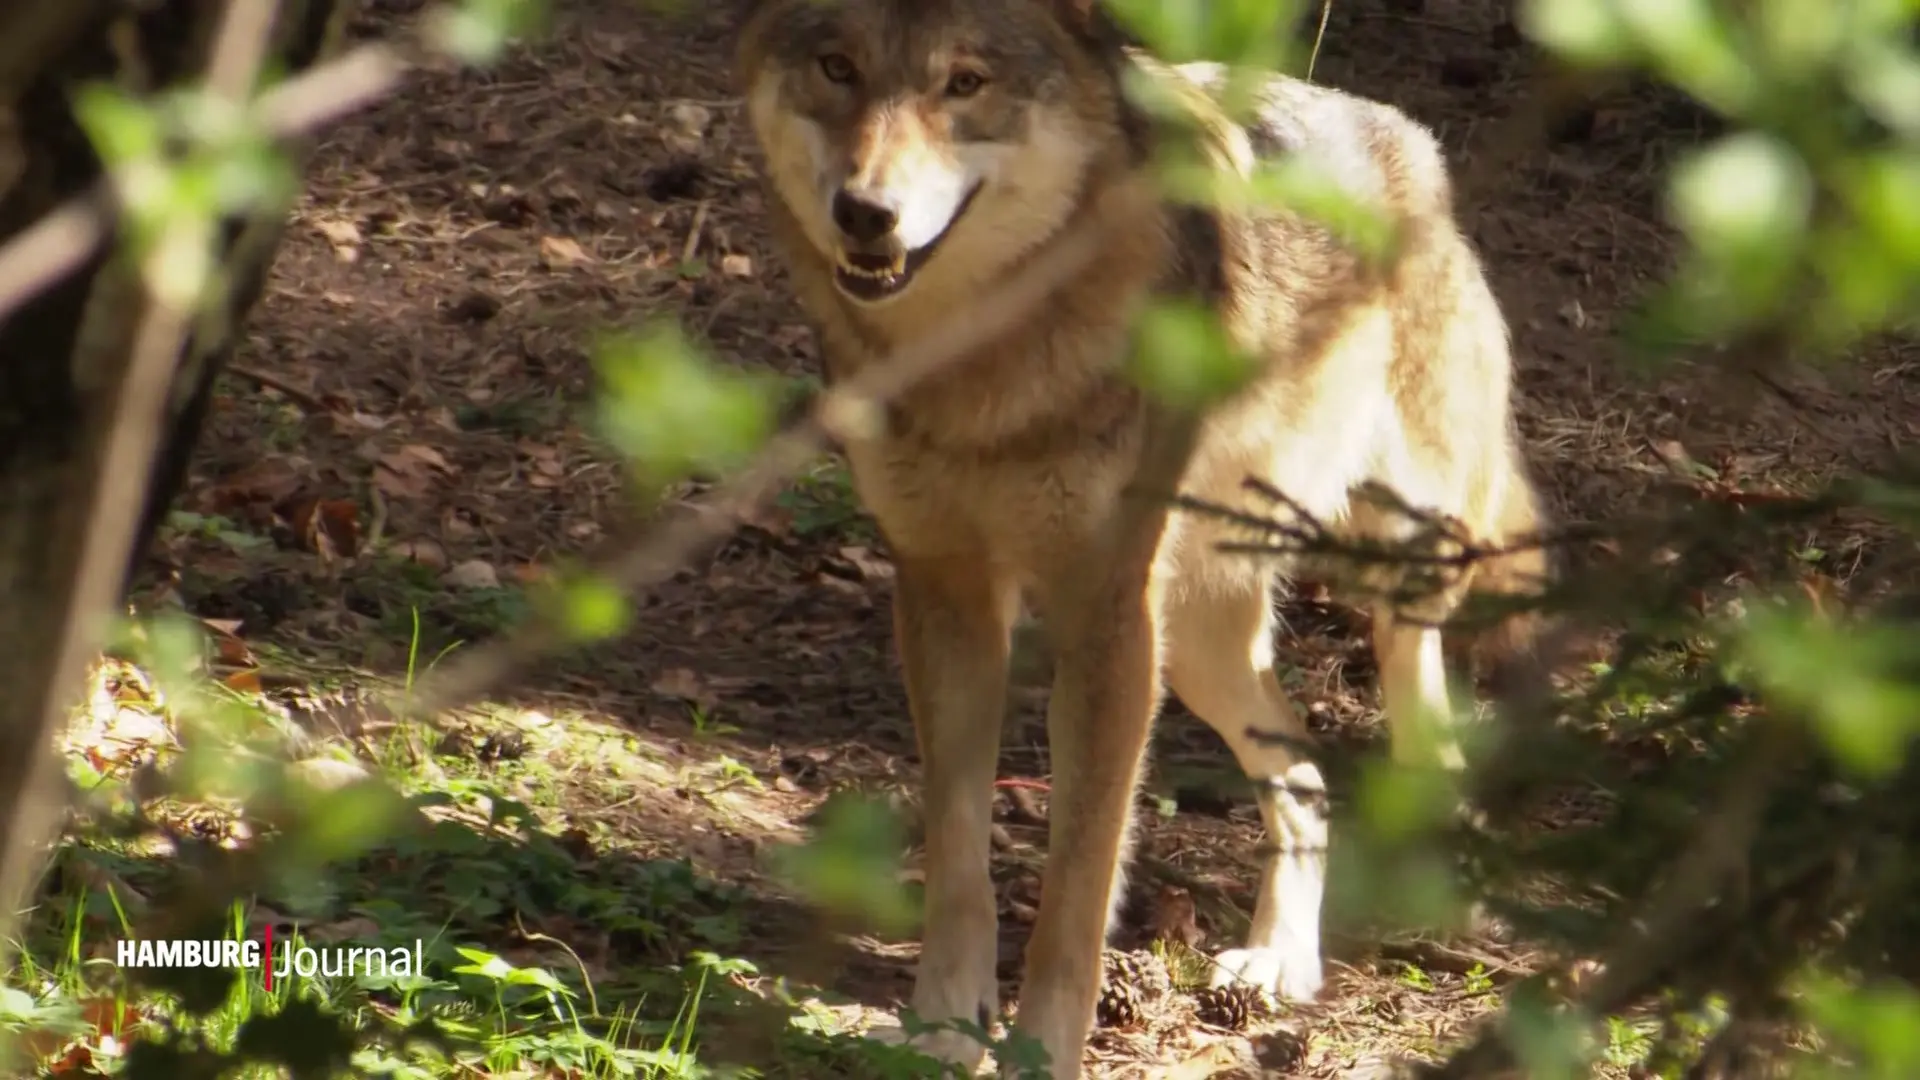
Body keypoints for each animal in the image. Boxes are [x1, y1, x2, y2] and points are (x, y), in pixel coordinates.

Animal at [734, 0, 1549, 1076]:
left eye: (965, 83)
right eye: (838, 67)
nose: (865, 213)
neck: (985, 371)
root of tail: (1411, 141)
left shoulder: (1105, 620)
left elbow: (1078, 893)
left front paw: (1043, 1050)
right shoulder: (943, 591)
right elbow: (958, 860)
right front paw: (944, 1033)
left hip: (1388, 573)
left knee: (1429, 734)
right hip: (1198, 646)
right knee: (1305, 767)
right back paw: (1276, 962)